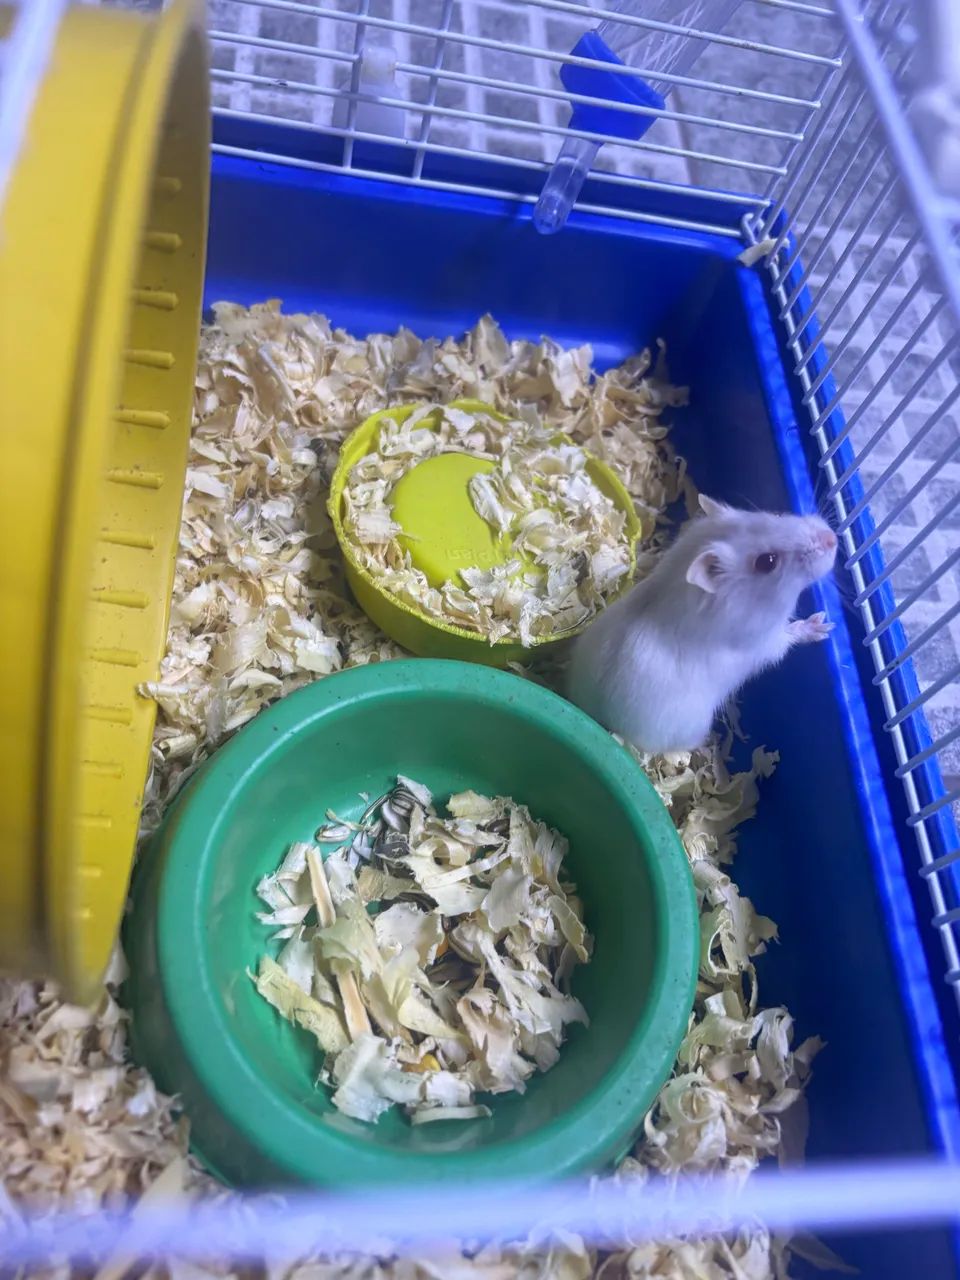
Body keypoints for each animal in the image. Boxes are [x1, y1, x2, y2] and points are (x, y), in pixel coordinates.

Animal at [566, 495, 838, 754]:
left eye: (777, 515)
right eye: (767, 562)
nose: (833, 538)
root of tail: (592, 714)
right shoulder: (764, 641)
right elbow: (789, 636)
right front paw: (823, 626)